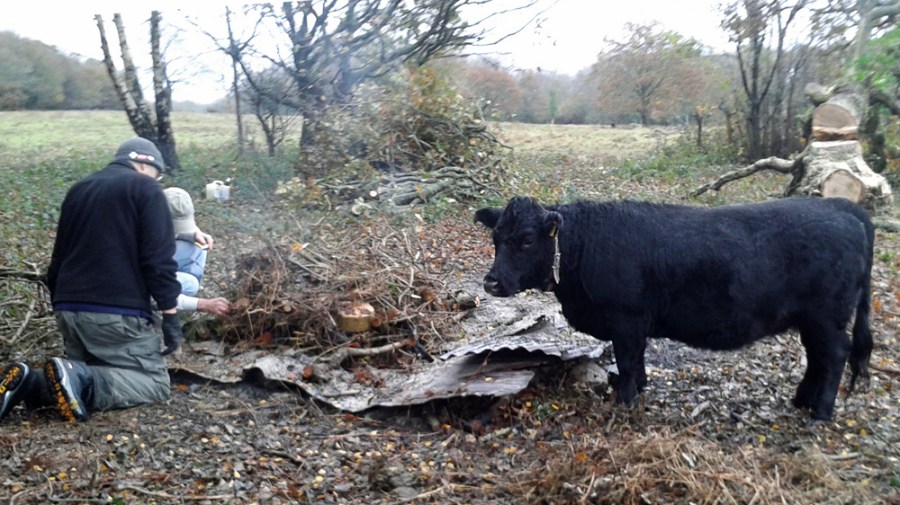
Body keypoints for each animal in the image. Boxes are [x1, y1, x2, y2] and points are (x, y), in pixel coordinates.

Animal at [474, 196, 875, 421]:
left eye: (527, 240)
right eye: (495, 237)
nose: (491, 282)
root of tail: (840, 207)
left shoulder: (627, 320)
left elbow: (628, 360)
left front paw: (625, 401)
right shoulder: (633, 326)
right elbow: (635, 362)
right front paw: (634, 389)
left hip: (827, 319)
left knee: (834, 355)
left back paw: (820, 413)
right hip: (811, 320)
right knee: (817, 358)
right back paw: (802, 400)